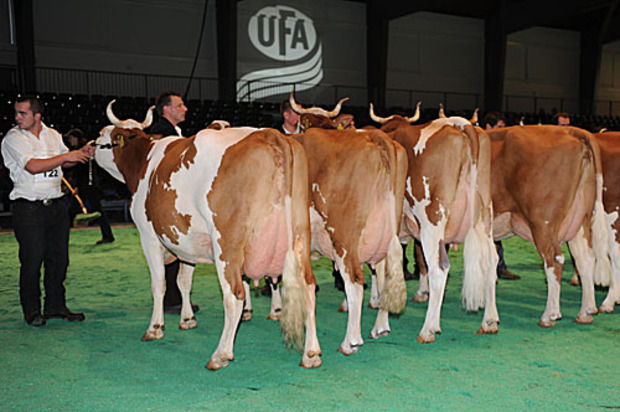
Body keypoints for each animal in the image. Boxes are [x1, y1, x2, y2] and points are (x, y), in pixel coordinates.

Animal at [94, 101, 321, 370]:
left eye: (101, 136)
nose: (90, 146)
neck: (144, 163)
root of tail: (269, 134)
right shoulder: (187, 242)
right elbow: (184, 281)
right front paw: (187, 319)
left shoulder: (148, 237)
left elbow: (159, 283)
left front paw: (155, 328)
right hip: (299, 236)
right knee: (308, 288)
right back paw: (311, 353)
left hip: (227, 244)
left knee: (234, 296)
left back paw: (220, 354)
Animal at [370, 104, 499, 343]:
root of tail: (458, 125)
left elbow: (382, 271)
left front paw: (380, 323)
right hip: (485, 216)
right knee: (491, 260)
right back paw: (489, 321)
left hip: (431, 220)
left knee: (439, 268)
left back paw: (428, 329)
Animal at [485, 125, 609, 327]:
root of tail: (570, 131)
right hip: (580, 219)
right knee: (585, 258)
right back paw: (585, 312)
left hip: (543, 223)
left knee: (554, 259)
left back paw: (549, 315)